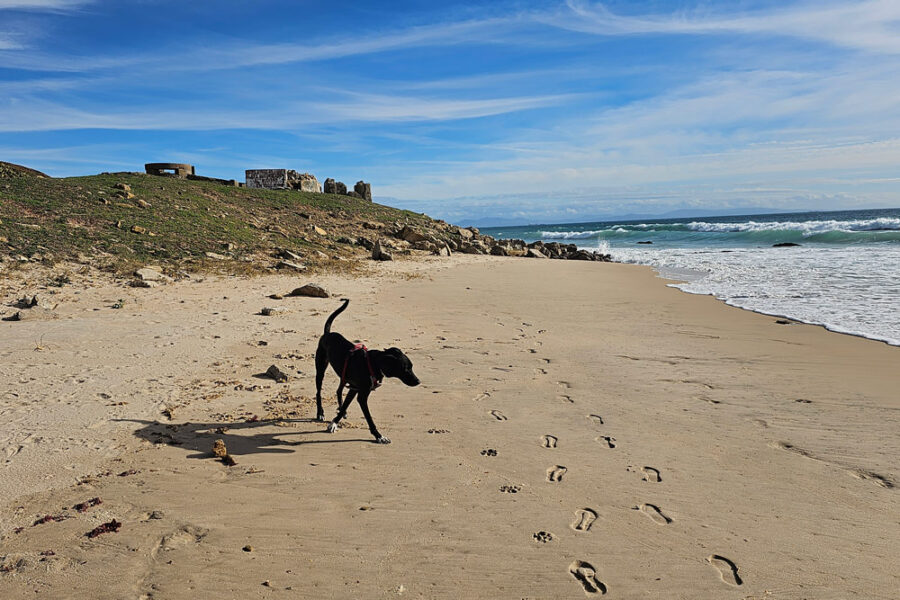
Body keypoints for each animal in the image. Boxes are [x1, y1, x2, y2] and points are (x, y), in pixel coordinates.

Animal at [314, 298, 420, 442]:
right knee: (318, 392)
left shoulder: (354, 389)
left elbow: (344, 406)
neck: (372, 363)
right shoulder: (362, 396)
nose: (418, 381)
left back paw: (342, 410)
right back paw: (320, 413)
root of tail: (327, 334)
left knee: (339, 390)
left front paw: (334, 422)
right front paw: (379, 436)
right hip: (320, 369)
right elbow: (369, 418)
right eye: (406, 369)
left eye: (411, 367)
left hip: (344, 376)